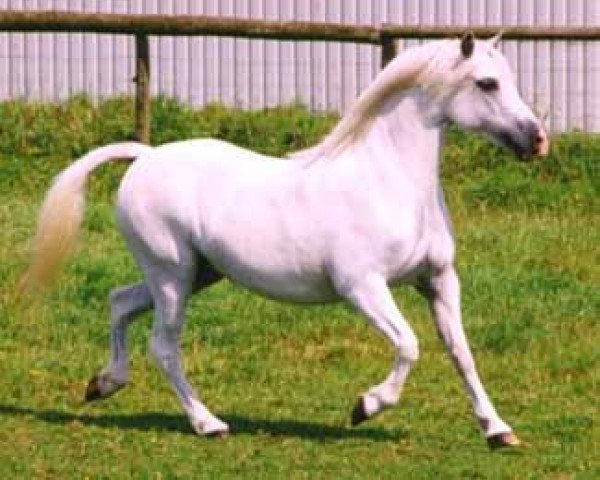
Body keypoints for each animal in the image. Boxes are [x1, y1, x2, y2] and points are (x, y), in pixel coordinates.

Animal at [23, 32, 548, 446]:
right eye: (487, 83)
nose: (538, 140)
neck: (388, 181)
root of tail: (146, 157)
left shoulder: (438, 280)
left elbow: (461, 353)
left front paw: (498, 431)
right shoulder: (362, 287)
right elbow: (409, 346)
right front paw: (365, 406)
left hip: (197, 273)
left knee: (119, 302)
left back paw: (104, 384)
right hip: (172, 275)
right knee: (164, 345)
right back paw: (209, 424)